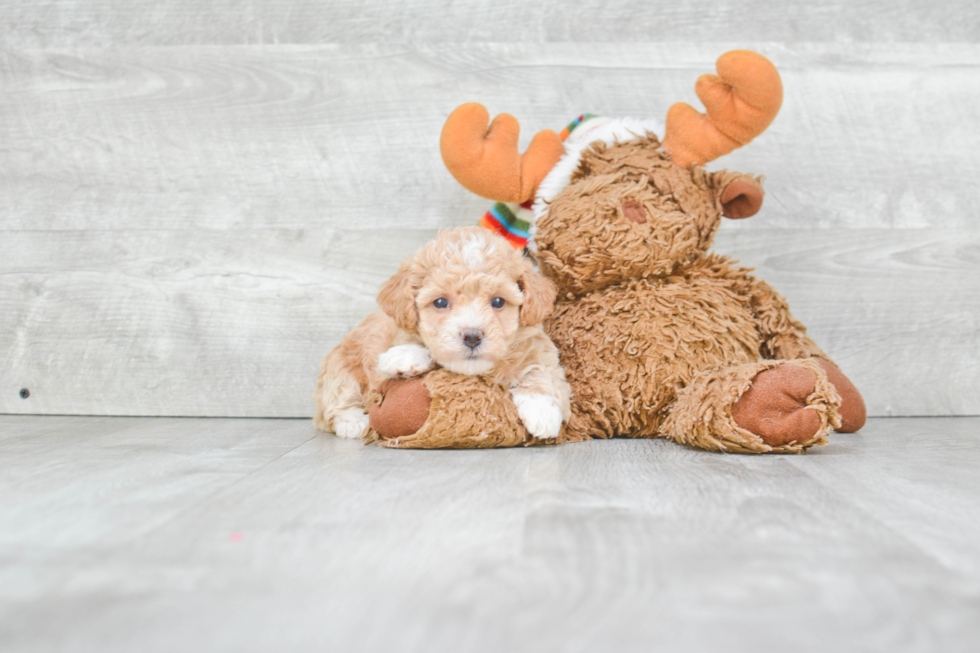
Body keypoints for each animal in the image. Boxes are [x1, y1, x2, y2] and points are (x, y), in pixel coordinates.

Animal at [318, 227, 572, 440]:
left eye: (498, 301)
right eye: (440, 302)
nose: (472, 336)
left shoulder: (539, 347)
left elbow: (541, 371)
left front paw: (542, 410)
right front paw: (404, 357)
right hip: (340, 367)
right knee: (336, 402)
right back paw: (353, 422)